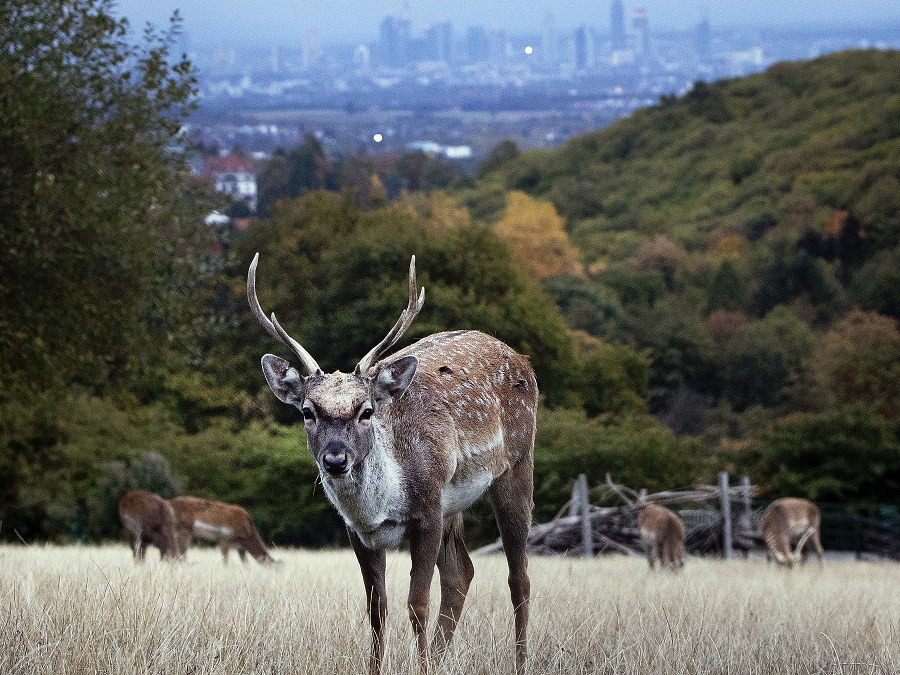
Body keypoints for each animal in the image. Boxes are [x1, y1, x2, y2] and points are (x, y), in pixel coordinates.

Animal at [248, 255, 536, 675]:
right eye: (307, 412)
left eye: (366, 411)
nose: (335, 459)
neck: (381, 507)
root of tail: (521, 359)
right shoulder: (358, 532)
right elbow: (376, 609)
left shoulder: (428, 511)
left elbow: (417, 605)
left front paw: (421, 666)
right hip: (454, 505)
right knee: (461, 572)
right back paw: (442, 657)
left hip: (517, 463)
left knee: (519, 577)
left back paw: (519, 661)